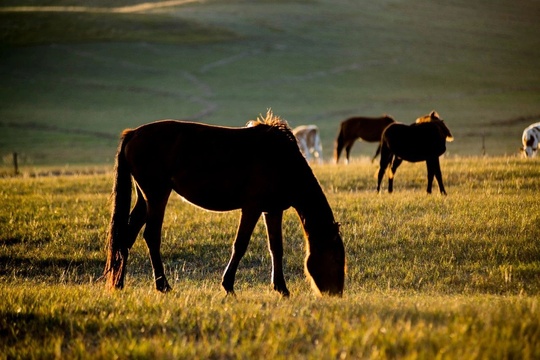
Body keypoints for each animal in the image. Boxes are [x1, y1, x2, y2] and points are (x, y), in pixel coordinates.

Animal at [103, 111, 344, 296]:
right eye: (336, 258)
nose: (336, 293)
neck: (282, 160)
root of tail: (133, 134)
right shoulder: (252, 207)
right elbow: (240, 245)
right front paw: (228, 285)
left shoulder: (272, 210)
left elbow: (276, 247)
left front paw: (281, 288)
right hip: (156, 195)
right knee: (151, 236)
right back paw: (163, 285)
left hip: (144, 199)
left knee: (126, 236)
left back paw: (119, 284)